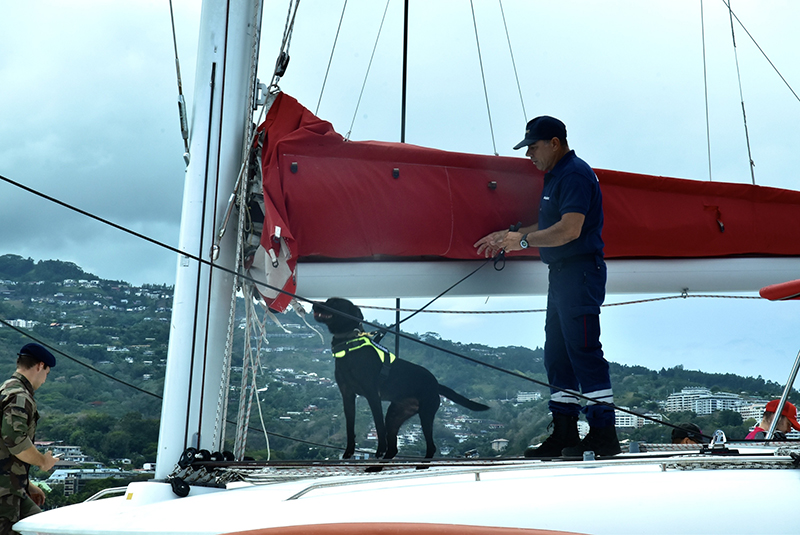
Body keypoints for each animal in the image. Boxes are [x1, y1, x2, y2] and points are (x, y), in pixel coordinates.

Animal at [310, 298, 488, 460]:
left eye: (334, 303)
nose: (314, 304)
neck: (349, 344)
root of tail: (436, 384)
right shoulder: (347, 395)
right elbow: (349, 427)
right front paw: (348, 452)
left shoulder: (372, 395)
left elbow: (378, 426)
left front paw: (379, 450)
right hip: (395, 414)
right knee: (394, 447)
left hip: (425, 414)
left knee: (431, 446)